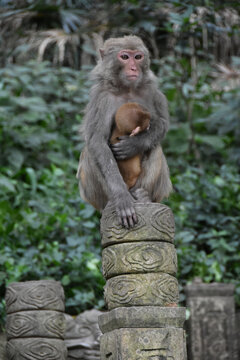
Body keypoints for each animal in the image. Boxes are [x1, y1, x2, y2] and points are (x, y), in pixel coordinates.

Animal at [77, 35, 172, 228]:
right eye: (125, 57)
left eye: (138, 57)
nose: (134, 68)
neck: (127, 88)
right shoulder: (102, 98)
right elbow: (97, 141)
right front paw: (121, 197)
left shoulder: (152, 92)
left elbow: (162, 124)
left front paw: (133, 145)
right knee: (90, 151)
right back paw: (114, 200)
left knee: (155, 147)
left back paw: (144, 196)